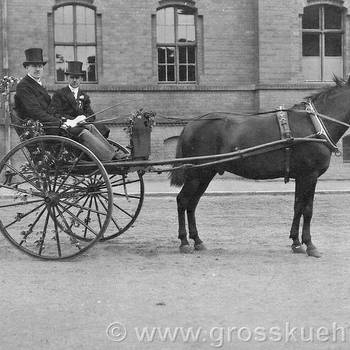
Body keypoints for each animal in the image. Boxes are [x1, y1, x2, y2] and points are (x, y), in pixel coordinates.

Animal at [169, 76, 350, 258]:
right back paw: (184, 242)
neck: (315, 125)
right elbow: (308, 209)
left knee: (192, 204)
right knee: (183, 200)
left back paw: (197, 240)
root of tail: (190, 125)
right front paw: (310, 245)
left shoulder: (301, 177)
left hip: (205, 174)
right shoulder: (309, 176)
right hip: (196, 174)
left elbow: (298, 207)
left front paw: (296, 242)